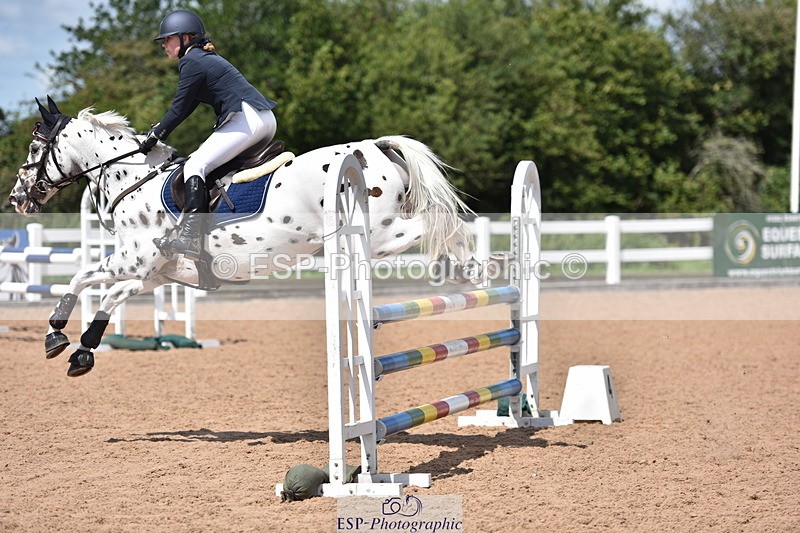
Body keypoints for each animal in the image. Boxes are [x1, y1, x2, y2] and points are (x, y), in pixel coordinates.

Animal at [8, 97, 473, 378]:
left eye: (34, 149)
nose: (17, 199)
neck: (133, 179)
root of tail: (374, 145)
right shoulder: (154, 274)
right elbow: (99, 290)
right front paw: (69, 343)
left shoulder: (134, 262)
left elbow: (85, 279)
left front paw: (67, 341)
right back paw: (463, 270)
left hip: (380, 231)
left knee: (440, 225)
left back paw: (461, 267)